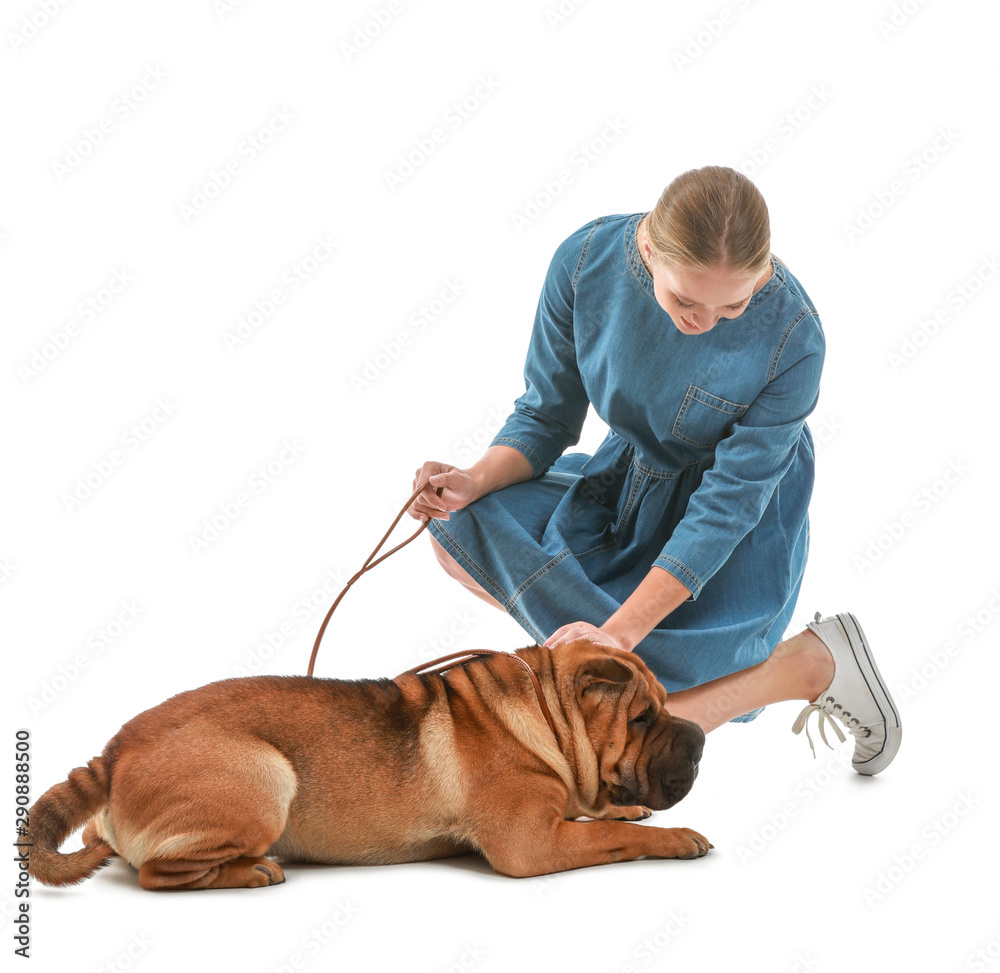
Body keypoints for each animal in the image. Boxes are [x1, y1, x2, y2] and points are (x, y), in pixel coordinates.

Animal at [27, 636, 708, 888]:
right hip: (264, 776)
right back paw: (251, 871)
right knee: (157, 873)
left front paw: (628, 809)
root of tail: (112, 752)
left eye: (665, 705)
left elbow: (602, 817)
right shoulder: (531, 843)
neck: (546, 712)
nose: (700, 735)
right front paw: (674, 837)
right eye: (642, 718)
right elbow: (615, 838)